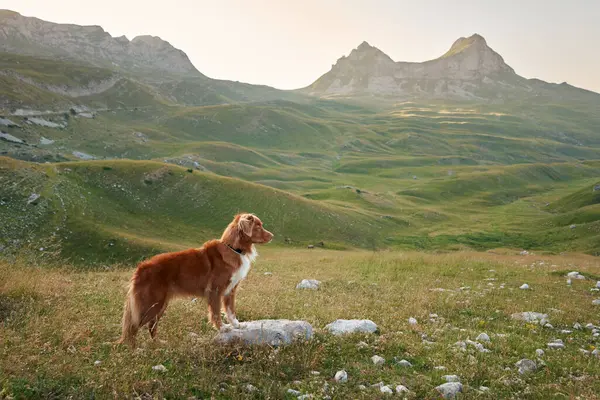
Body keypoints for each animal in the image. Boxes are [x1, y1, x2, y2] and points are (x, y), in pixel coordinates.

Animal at [118, 212, 274, 346]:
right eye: (258, 226)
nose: (272, 236)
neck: (234, 248)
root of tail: (140, 268)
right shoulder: (215, 291)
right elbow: (216, 313)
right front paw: (222, 328)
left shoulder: (230, 291)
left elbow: (231, 311)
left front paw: (237, 325)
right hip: (150, 305)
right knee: (132, 328)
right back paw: (133, 349)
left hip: (160, 305)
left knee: (151, 326)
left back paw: (158, 344)